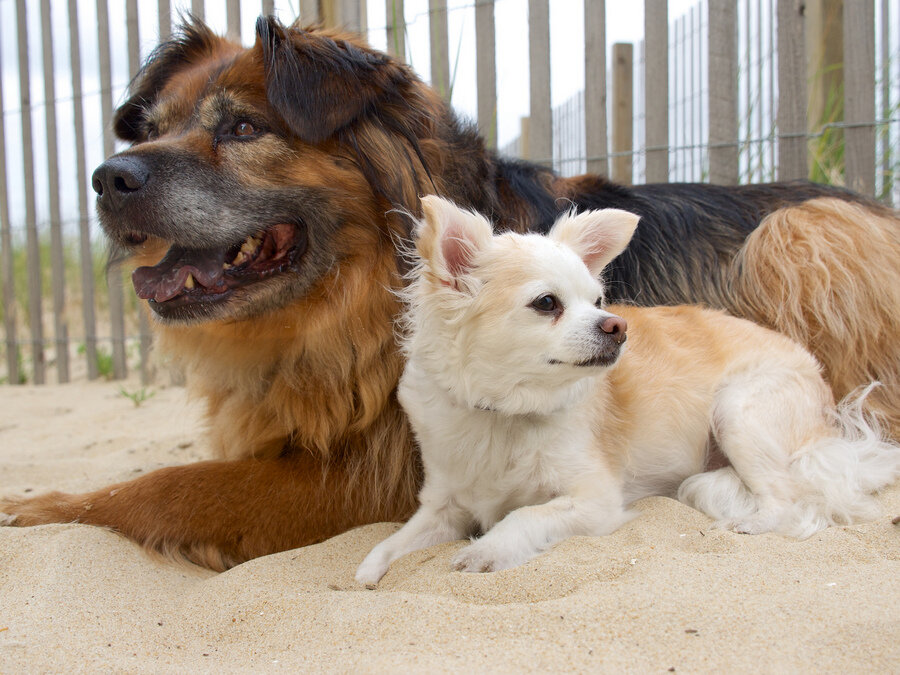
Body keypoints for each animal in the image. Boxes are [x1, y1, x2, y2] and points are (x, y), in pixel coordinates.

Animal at [356, 195, 896, 588]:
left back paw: (752, 524)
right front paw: (368, 572)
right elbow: (392, 543)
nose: (616, 326)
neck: (506, 410)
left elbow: (524, 516)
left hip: (738, 410)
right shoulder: (443, 507)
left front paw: (485, 551)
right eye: (547, 303)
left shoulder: (594, 500)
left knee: (789, 499)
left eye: (598, 301)